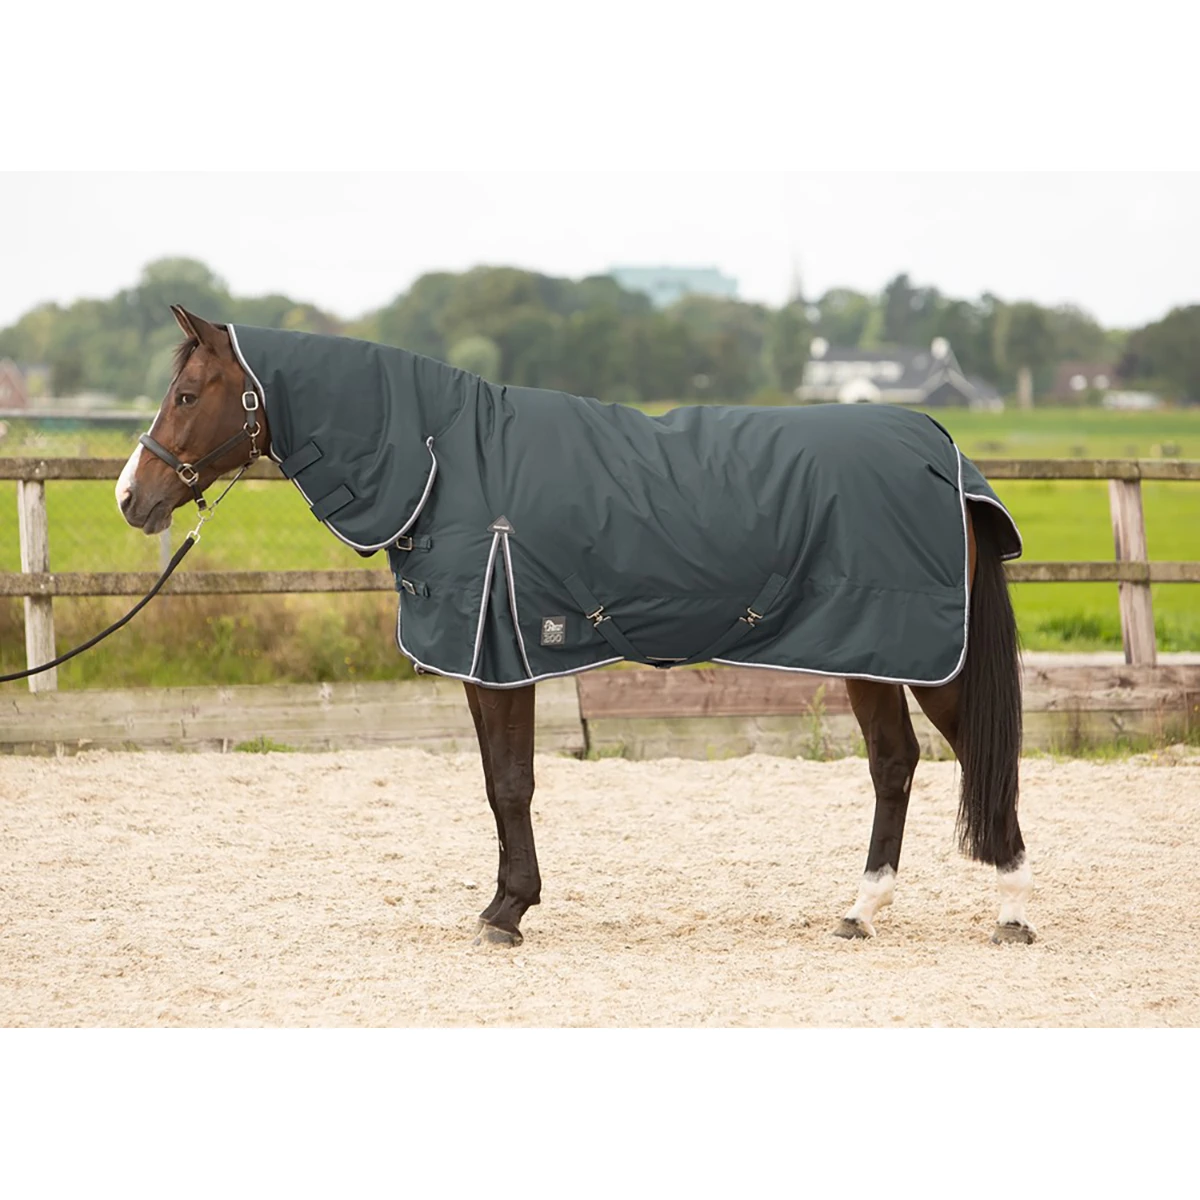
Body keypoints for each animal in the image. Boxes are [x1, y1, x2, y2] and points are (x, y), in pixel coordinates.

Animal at [116, 306, 1034, 947]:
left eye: (186, 396)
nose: (132, 497)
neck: (446, 459)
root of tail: (942, 448)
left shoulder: (501, 656)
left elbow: (511, 784)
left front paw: (507, 913)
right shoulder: (489, 662)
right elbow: (498, 782)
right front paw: (503, 903)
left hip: (923, 655)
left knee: (982, 758)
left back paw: (1010, 911)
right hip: (868, 649)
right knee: (894, 763)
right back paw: (861, 911)